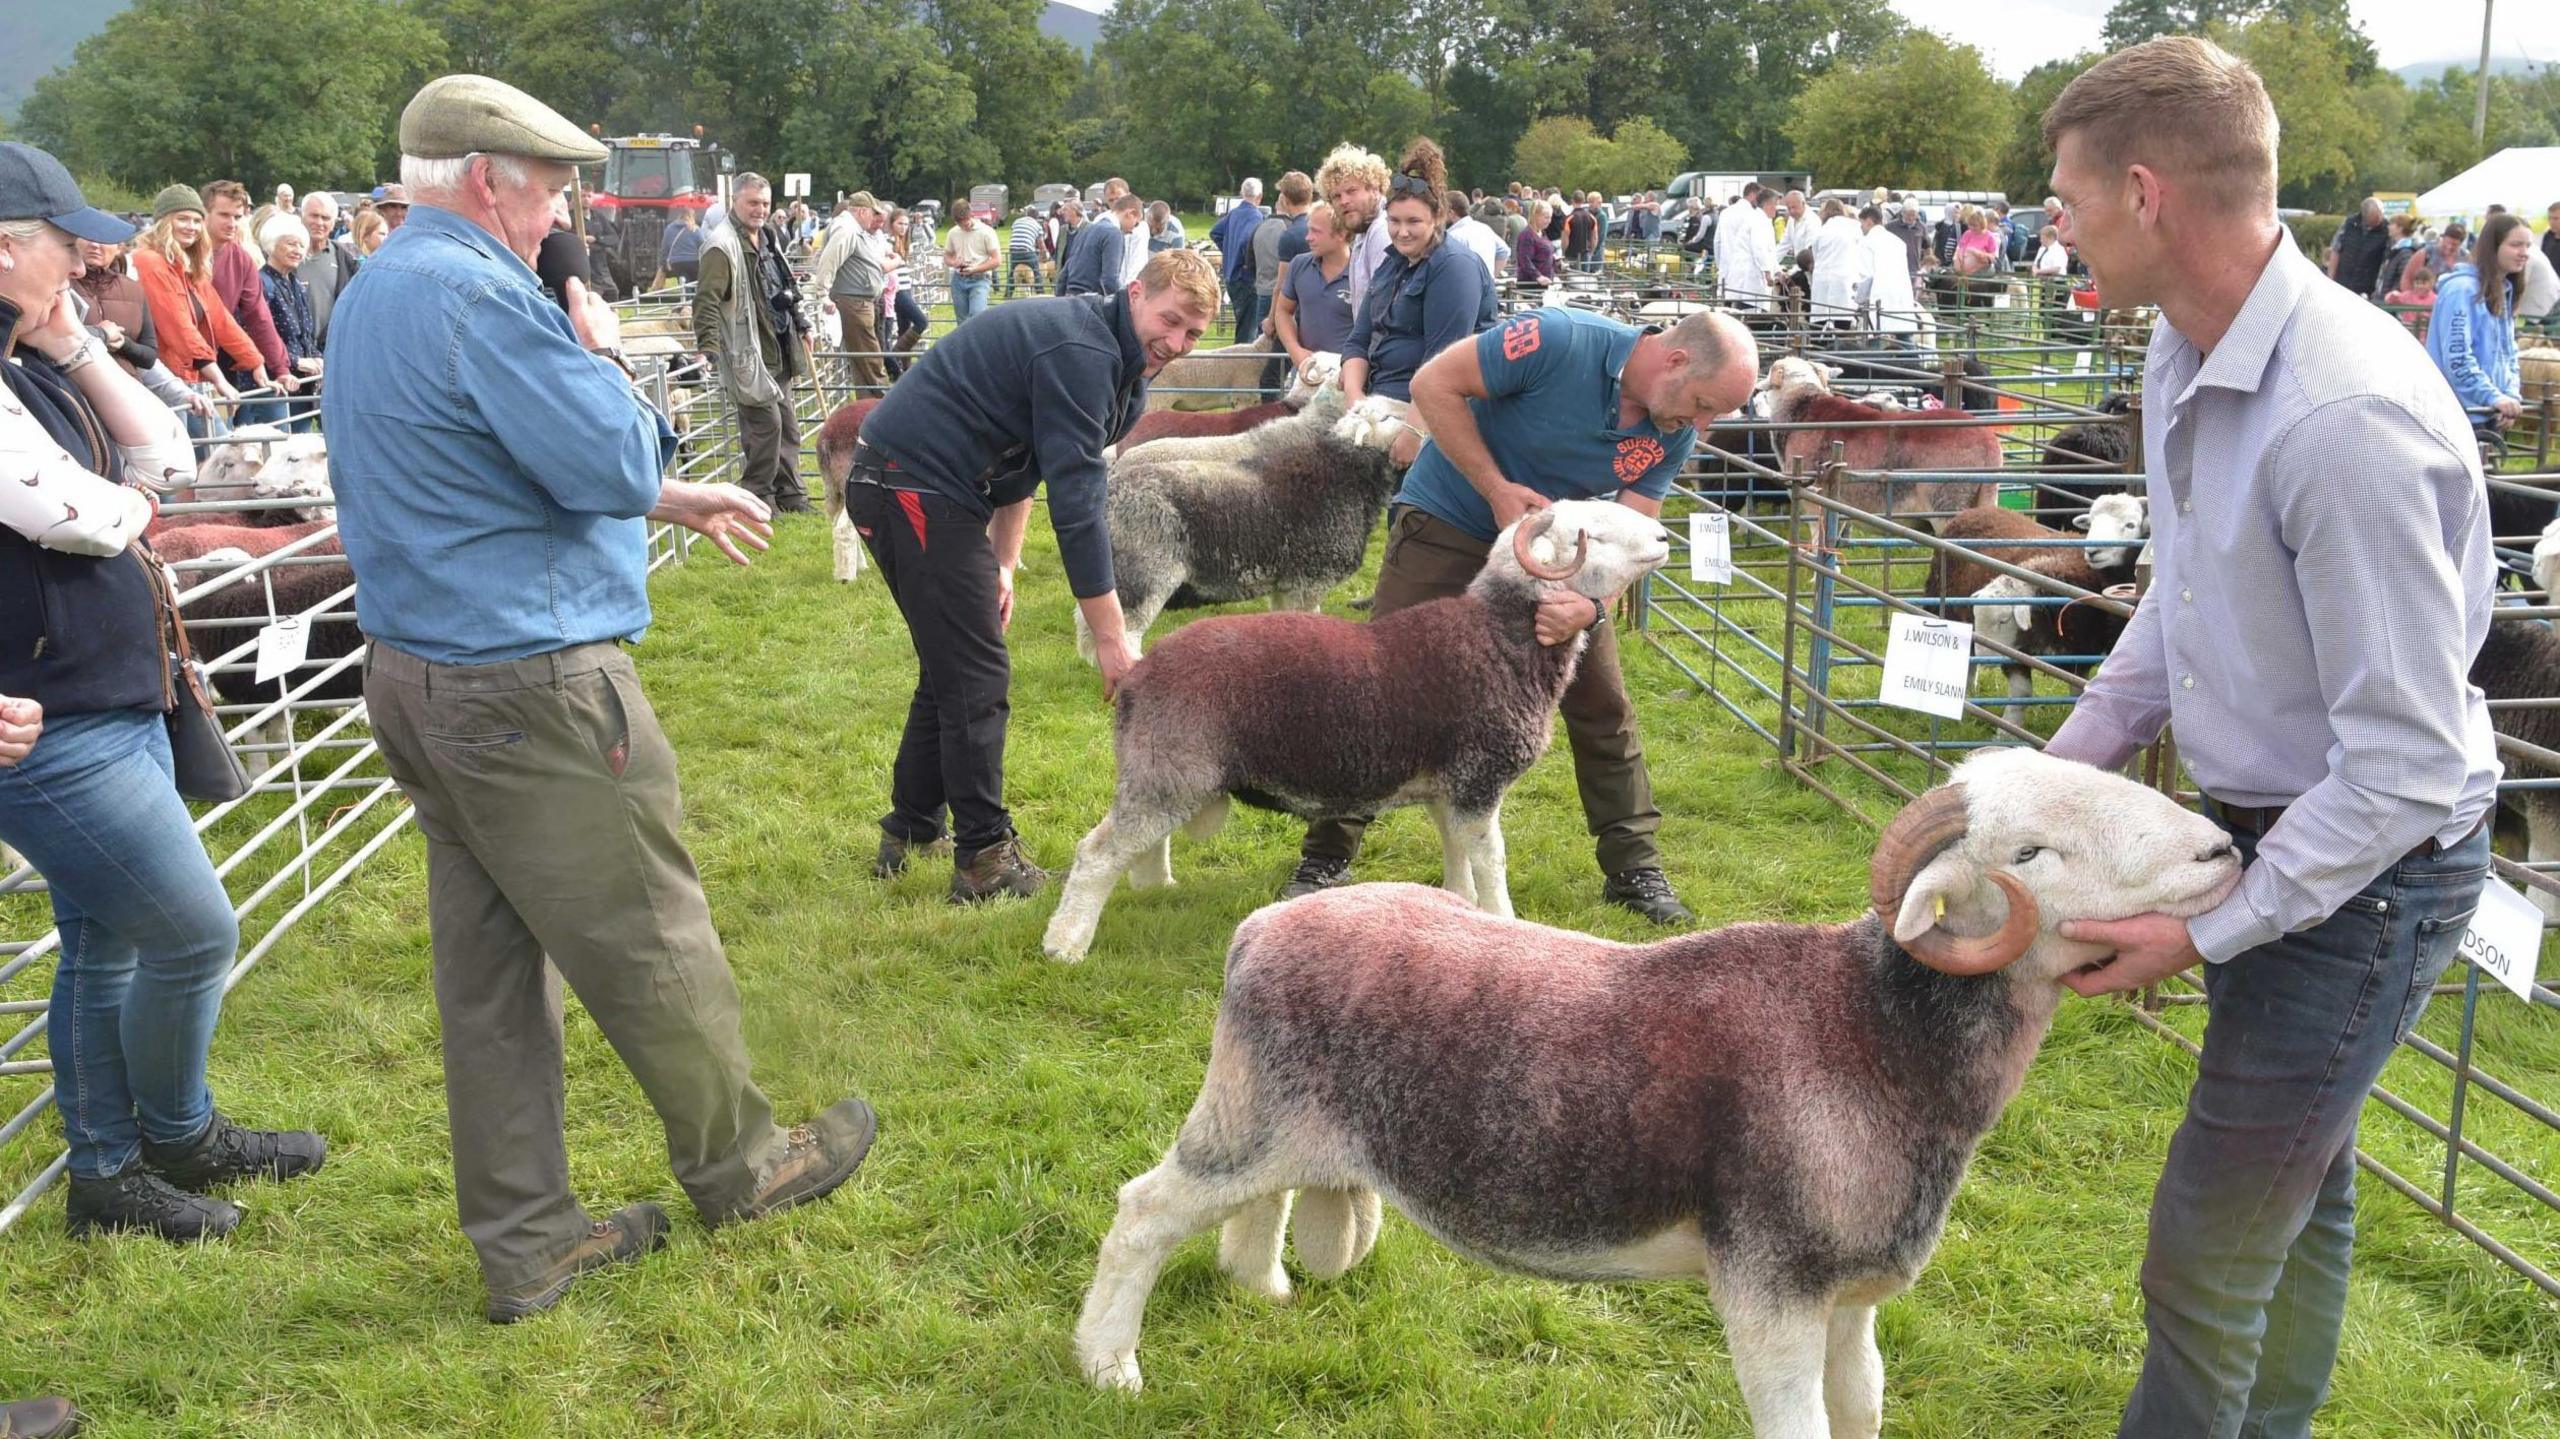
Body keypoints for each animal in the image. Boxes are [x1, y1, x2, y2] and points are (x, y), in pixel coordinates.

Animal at [1044, 499, 1679, 957]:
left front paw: (1460, 909)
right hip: (1170, 769)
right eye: (1591, 535)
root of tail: (1135, 672)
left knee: (1143, 843)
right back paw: (1065, 946)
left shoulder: (1448, 790)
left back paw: (1155, 890)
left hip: (1169, 770)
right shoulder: (1478, 782)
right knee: (1097, 853)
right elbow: (1492, 861)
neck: (1498, 639)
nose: (1664, 539)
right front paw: (1503, 921)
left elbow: (1456, 856)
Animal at [1075, 742, 2242, 1423]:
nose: (2223, 847)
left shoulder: (1853, 1293)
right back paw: (1107, 1366)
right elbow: (1797, 1420)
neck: (1873, 1032)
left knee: (1250, 1210)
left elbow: (1862, 1409)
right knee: (1141, 1211)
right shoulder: (1770, 1284)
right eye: (2031, 852)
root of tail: (1262, 926)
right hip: (1244, 1117)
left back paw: (1262, 1285)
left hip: (1286, 1124)